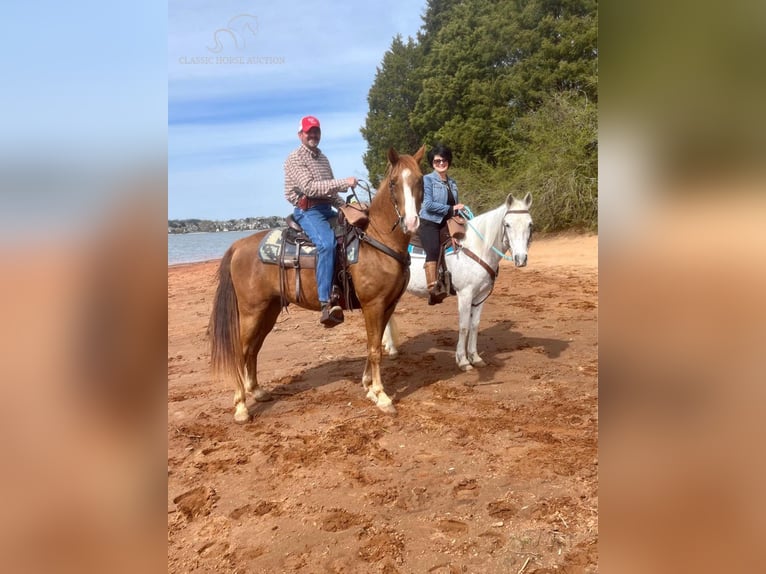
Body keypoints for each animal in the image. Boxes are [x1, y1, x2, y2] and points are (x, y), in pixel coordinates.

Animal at [210, 146, 426, 424]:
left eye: (420, 180)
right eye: (393, 182)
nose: (411, 222)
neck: (376, 240)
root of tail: (238, 245)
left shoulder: (388, 305)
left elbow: (375, 344)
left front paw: (368, 387)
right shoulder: (373, 305)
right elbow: (375, 349)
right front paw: (381, 396)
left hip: (268, 311)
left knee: (253, 349)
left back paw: (257, 391)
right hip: (251, 311)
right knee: (241, 350)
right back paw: (240, 407)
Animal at [382, 194, 536, 374]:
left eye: (530, 224)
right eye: (507, 224)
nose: (521, 258)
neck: (477, 248)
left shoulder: (481, 295)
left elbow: (474, 325)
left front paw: (475, 357)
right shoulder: (465, 294)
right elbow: (463, 327)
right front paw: (463, 360)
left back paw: (390, 347)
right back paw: (392, 350)